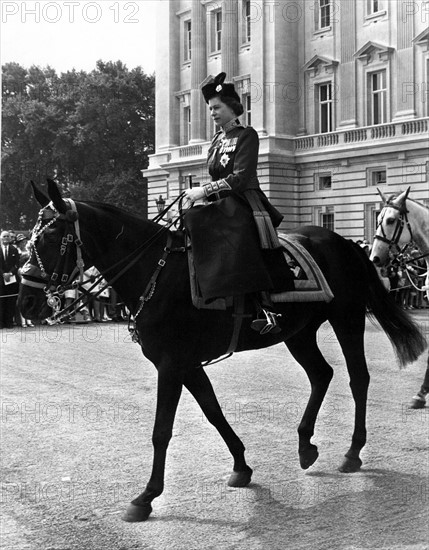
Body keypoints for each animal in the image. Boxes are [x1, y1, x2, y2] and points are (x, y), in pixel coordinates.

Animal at [17, 181, 424, 520]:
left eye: (50, 237)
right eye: (29, 240)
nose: (25, 302)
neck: (157, 271)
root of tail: (344, 242)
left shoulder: (171, 364)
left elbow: (161, 430)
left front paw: (146, 496)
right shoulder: (185, 363)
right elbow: (213, 412)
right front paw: (241, 466)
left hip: (347, 319)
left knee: (358, 378)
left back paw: (353, 452)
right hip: (299, 332)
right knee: (322, 374)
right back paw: (306, 445)